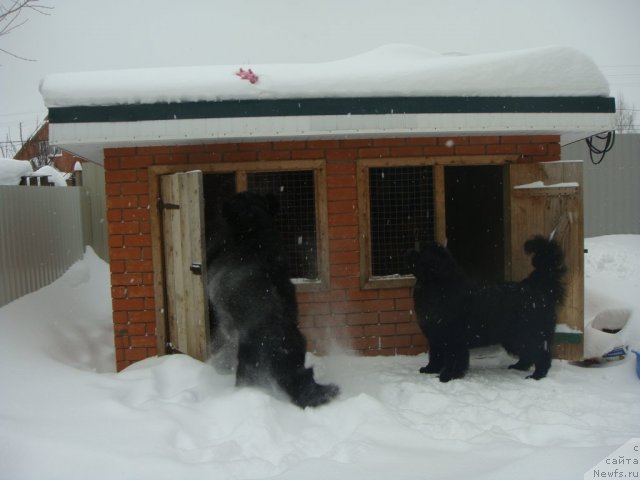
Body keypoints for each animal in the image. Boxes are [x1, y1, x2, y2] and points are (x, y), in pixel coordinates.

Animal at [408, 236, 568, 382]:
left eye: (422, 253)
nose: (408, 251)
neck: (437, 287)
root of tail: (536, 286)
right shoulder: (435, 336)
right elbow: (435, 355)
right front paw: (430, 369)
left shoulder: (453, 337)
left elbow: (454, 358)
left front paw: (448, 376)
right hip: (514, 338)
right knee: (528, 354)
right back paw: (519, 367)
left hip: (529, 334)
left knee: (542, 355)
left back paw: (536, 376)